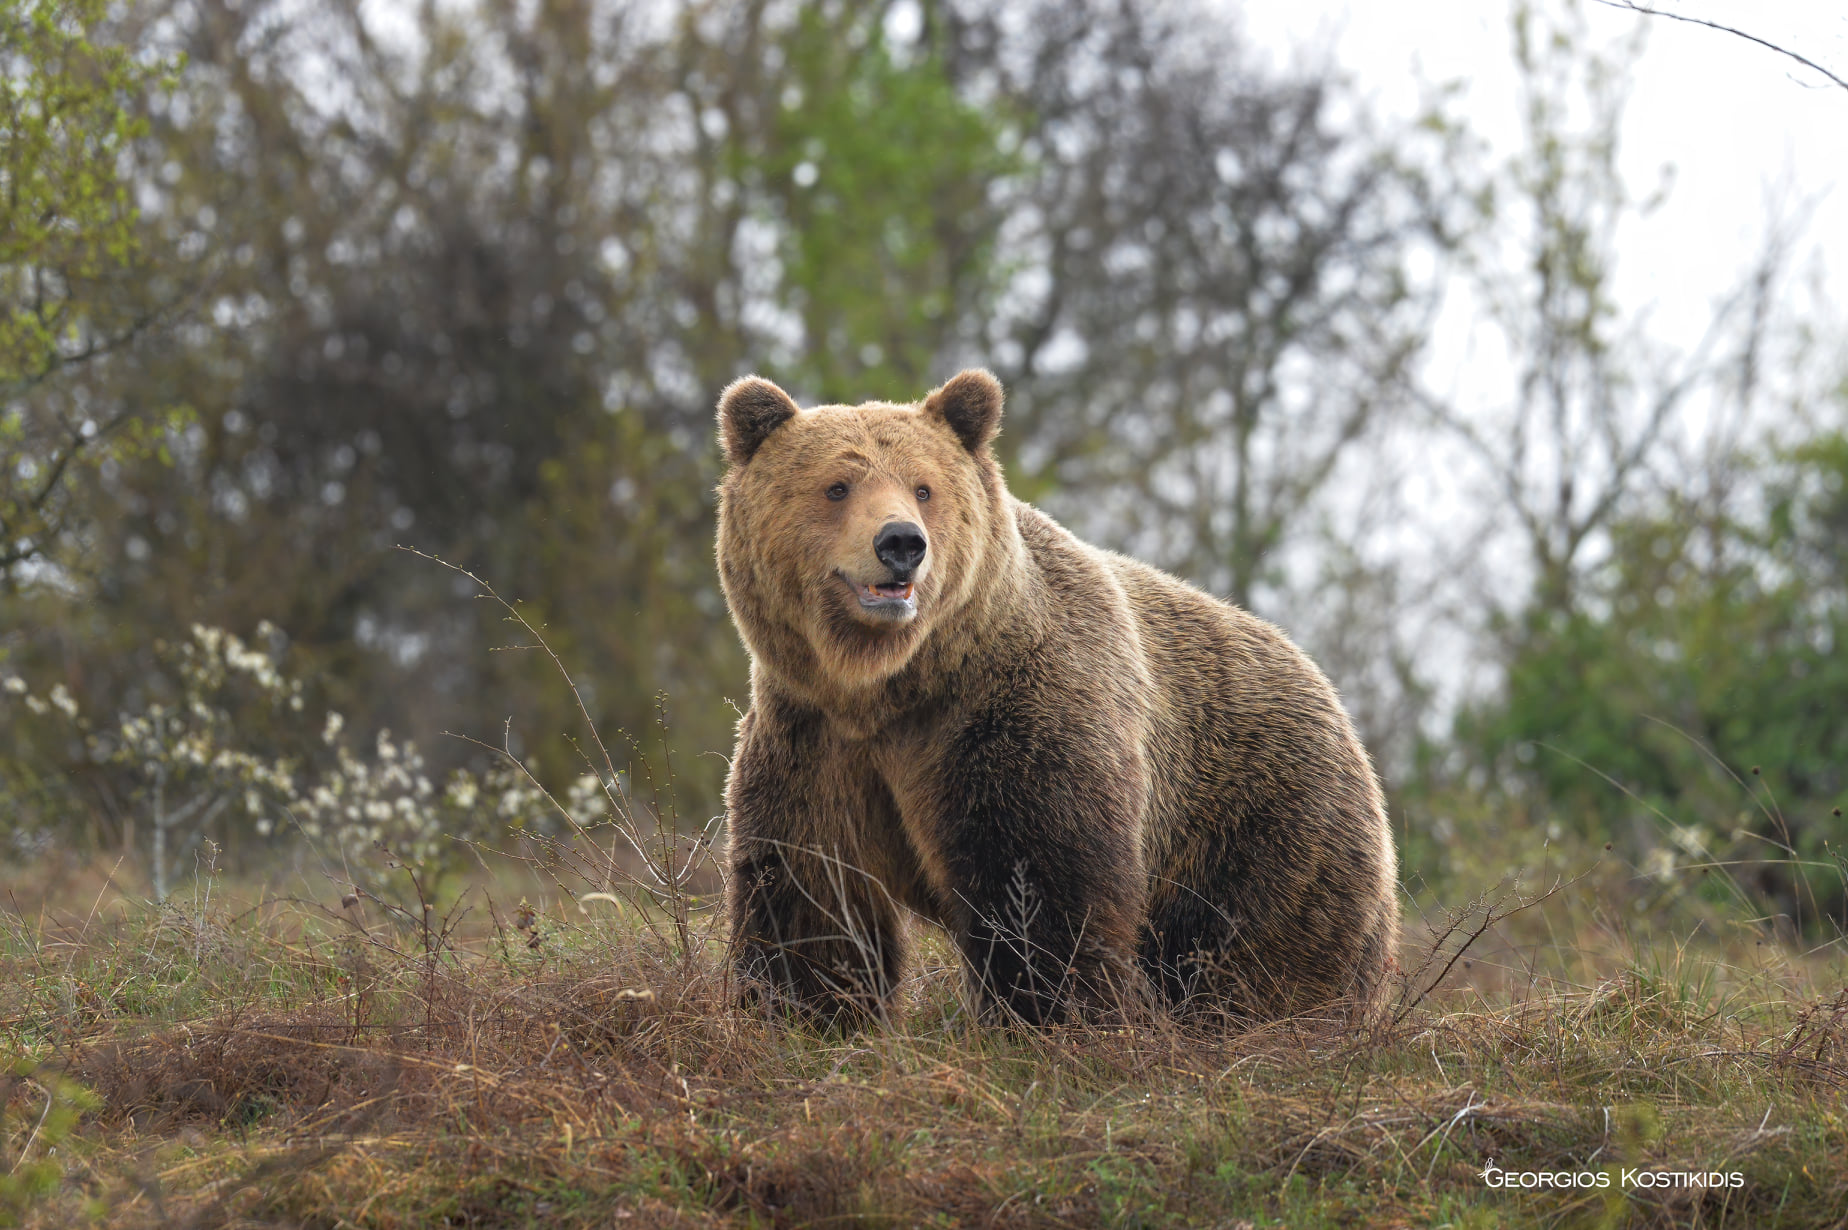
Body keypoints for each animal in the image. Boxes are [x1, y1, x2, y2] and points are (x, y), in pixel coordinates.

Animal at [717, 369, 1397, 1019]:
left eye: (923, 487)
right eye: (838, 486)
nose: (901, 543)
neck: (891, 687)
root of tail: (1332, 697)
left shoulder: (1013, 722)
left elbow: (1041, 890)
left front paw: (1048, 1018)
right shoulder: (812, 741)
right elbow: (812, 900)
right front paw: (808, 1013)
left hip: (1263, 820)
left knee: (1260, 957)